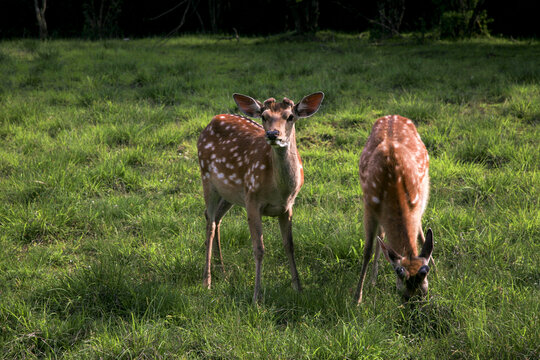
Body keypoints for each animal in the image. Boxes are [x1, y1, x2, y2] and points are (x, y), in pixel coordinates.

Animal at [198, 91, 324, 302]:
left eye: (290, 116)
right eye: (264, 116)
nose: (273, 134)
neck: (279, 190)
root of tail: (213, 120)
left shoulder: (288, 206)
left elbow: (289, 245)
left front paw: (298, 287)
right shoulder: (252, 200)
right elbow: (259, 249)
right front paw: (257, 296)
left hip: (230, 192)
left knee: (214, 218)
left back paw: (221, 270)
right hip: (207, 177)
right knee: (210, 223)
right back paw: (207, 282)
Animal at [354, 115, 434, 304]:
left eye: (424, 293)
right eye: (403, 294)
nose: (414, 308)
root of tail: (392, 116)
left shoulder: (416, 202)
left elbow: (420, 234)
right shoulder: (369, 205)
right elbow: (367, 249)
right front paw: (357, 298)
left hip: (425, 188)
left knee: (419, 231)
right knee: (381, 236)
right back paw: (373, 279)